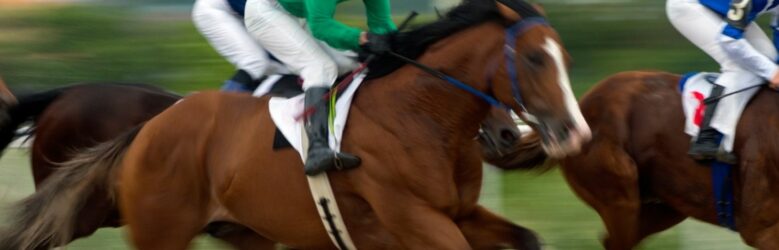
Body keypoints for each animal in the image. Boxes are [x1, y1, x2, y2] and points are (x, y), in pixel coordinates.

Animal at [0, 0, 584, 248]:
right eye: (535, 59)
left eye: (567, 59)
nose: (573, 132)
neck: (419, 116)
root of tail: (150, 129)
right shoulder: (413, 219)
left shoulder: (457, 213)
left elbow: (527, 238)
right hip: (151, 227)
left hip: (244, 233)